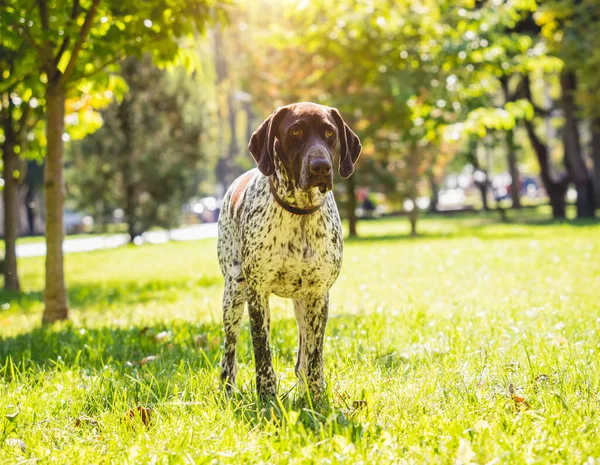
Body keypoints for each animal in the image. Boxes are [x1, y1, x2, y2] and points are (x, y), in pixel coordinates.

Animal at [218, 102, 364, 398]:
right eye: (295, 131)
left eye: (330, 133)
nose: (321, 167)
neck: (300, 213)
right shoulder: (257, 294)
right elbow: (262, 353)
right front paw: (267, 397)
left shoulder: (318, 295)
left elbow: (314, 356)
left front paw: (316, 397)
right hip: (234, 297)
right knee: (229, 353)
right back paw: (228, 388)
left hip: (301, 302)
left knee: (303, 352)